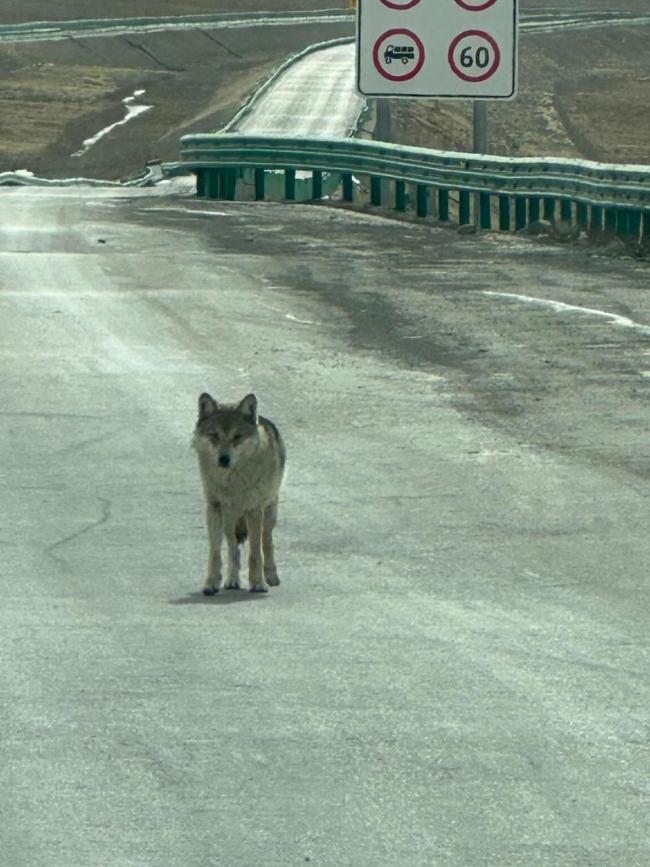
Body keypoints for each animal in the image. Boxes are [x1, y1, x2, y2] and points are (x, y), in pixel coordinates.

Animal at [191, 396, 284, 592]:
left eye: (237, 437)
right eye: (214, 435)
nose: (223, 459)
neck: (231, 482)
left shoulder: (254, 509)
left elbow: (255, 553)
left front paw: (258, 583)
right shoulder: (214, 507)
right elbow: (215, 552)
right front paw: (211, 583)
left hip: (269, 512)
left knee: (266, 541)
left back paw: (271, 576)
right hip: (229, 520)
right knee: (233, 547)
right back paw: (232, 580)